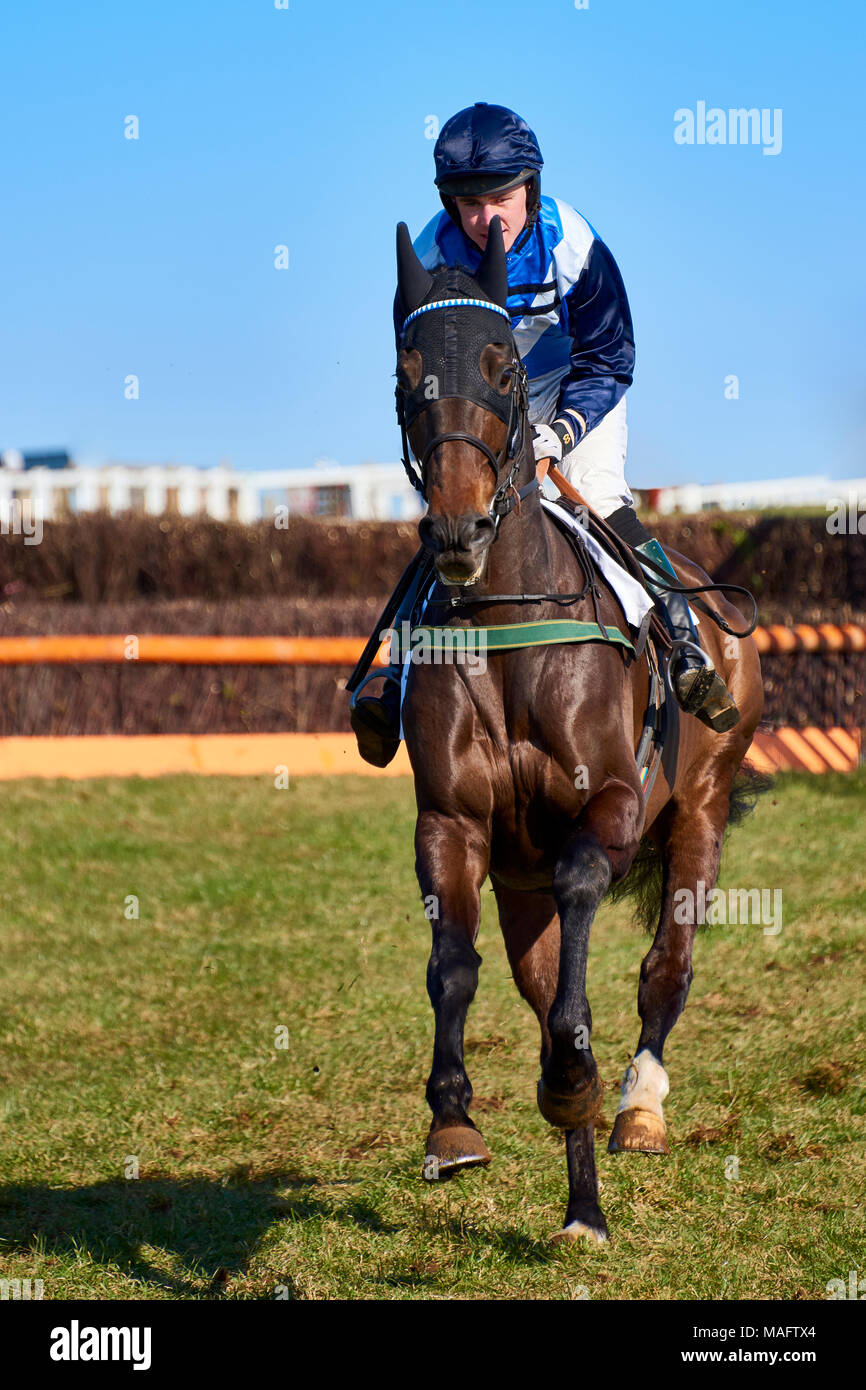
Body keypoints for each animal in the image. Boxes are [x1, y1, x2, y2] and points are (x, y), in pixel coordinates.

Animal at [392, 216, 765, 1242]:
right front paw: (453, 1124)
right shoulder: (452, 821)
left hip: (700, 808)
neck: (505, 620)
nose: (459, 531)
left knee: (664, 968)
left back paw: (637, 1110)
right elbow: (455, 968)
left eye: (504, 370)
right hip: (519, 877)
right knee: (542, 978)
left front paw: (576, 1083)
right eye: (406, 370)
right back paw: (584, 1205)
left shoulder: (610, 811)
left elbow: (586, 959)